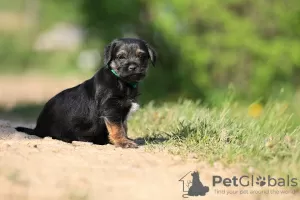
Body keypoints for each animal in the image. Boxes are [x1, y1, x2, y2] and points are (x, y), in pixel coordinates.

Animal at [15, 38, 157, 148]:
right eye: (121, 57)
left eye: (141, 56)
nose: (133, 67)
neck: (121, 81)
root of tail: (37, 127)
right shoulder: (111, 108)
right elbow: (117, 128)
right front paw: (123, 142)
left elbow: (124, 126)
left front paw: (125, 139)